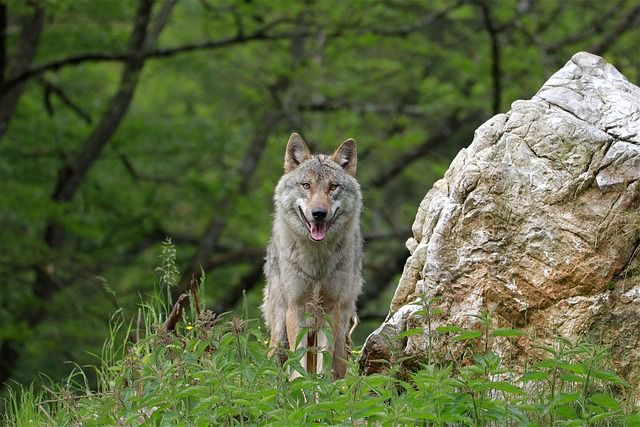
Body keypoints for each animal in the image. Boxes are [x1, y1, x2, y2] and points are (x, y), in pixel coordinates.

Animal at [262, 132, 363, 379]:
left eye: (333, 187)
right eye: (306, 185)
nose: (318, 214)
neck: (316, 262)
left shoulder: (329, 311)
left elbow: (323, 364)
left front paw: (319, 389)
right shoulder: (296, 309)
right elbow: (298, 366)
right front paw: (302, 388)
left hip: (341, 332)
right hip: (279, 329)